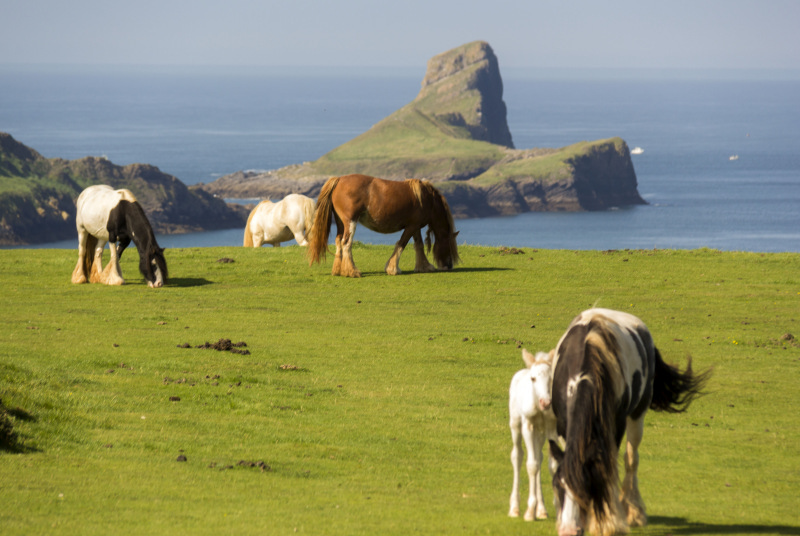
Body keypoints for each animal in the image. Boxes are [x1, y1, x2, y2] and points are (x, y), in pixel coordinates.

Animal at [304, 175, 456, 278]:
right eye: (449, 245)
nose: (449, 266)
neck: (427, 199)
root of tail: (339, 179)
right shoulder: (411, 227)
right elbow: (401, 244)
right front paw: (393, 268)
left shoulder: (415, 226)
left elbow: (418, 245)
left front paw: (424, 266)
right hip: (350, 222)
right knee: (346, 242)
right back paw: (352, 271)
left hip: (341, 223)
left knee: (338, 241)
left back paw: (338, 270)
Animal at [510, 350, 560, 520]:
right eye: (533, 378)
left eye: (551, 378)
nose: (546, 402)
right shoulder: (528, 426)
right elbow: (531, 465)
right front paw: (529, 512)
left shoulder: (552, 428)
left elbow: (552, 464)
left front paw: (558, 509)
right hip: (515, 424)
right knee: (517, 455)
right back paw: (514, 508)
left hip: (541, 433)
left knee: (539, 457)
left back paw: (542, 509)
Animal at [548, 308, 708, 536]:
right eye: (557, 486)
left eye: (586, 488)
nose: (569, 530)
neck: (582, 373)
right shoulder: (563, 424)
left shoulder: (615, 425)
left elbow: (611, 466)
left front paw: (607, 521)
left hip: (637, 415)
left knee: (631, 459)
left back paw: (634, 511)